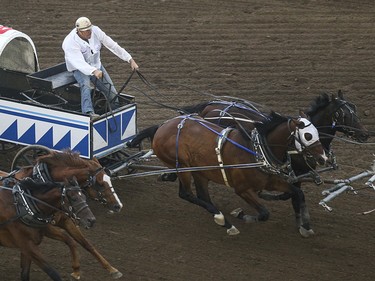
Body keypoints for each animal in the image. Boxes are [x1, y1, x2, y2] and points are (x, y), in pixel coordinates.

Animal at [1, 151, 125, 280]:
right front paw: (76, 270)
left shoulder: (65, 220)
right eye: (100, 184)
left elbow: (85, 243)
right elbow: (70, 240)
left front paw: (111, 269)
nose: (118, 205)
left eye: (109, 179)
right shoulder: (45, 227)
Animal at [140, 111, 326, 236]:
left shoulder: (271, 182)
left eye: (317, 132)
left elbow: (298, 192)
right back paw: (222, 219)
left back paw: (223, 221)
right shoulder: (242, 189)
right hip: (183, 167)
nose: (323, 158)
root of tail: (161, 127)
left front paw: (306, 225)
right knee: (186, 194)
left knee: (202, 196)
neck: (256, 151)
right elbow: (264, 214)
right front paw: (241, 214)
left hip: (199, 171)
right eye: (307, 135)